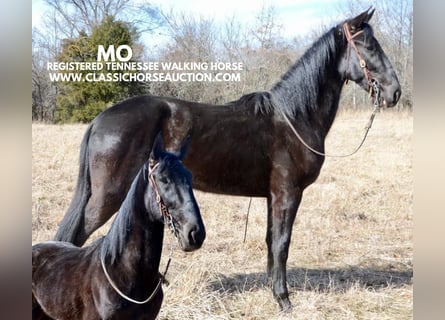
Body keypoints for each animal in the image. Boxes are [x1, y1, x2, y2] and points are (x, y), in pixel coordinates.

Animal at [53, 9, 400, 310]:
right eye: (368, 45)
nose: (394, 92)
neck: (293, 118)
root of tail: (100, 120)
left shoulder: (273, 196)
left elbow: (271, 242)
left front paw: (274, 291)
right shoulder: (288, 194)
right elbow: (282, 244)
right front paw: (284, 300)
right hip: (108, 196)